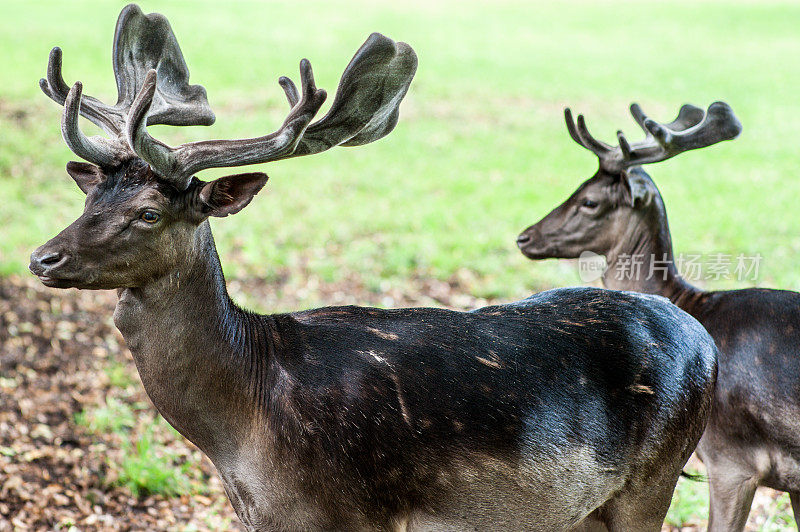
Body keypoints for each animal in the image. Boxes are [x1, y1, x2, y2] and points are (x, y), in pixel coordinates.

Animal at [31, 5, 720, 532]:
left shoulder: (345, 514)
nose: (43, 257)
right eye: (89, 197)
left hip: (652, 482)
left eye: (149, 213)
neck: (243, 432)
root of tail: (703, 339)